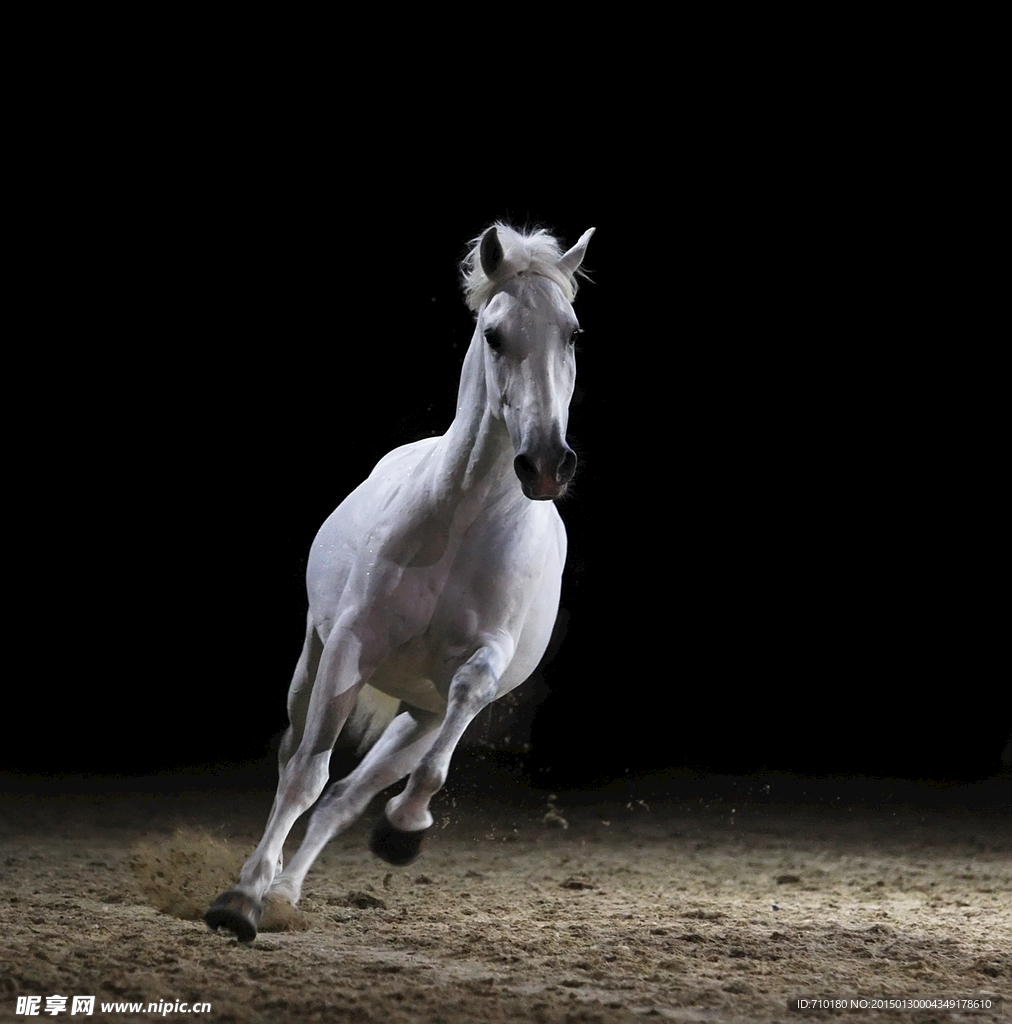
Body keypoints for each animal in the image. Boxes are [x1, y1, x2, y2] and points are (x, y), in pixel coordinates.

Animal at [205, 223, 595, 941]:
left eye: (573, 333)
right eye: (495, 335)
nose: (547, 465)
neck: (463, 523)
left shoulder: (482, 662)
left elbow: (460, 706)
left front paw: (405, 829)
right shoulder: (350, 647)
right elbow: (303, 775)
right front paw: (238, 901)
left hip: (419, 713)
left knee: (348, 796)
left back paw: (289, 893)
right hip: (314, 664)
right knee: (296, 763)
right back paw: (260, 887)